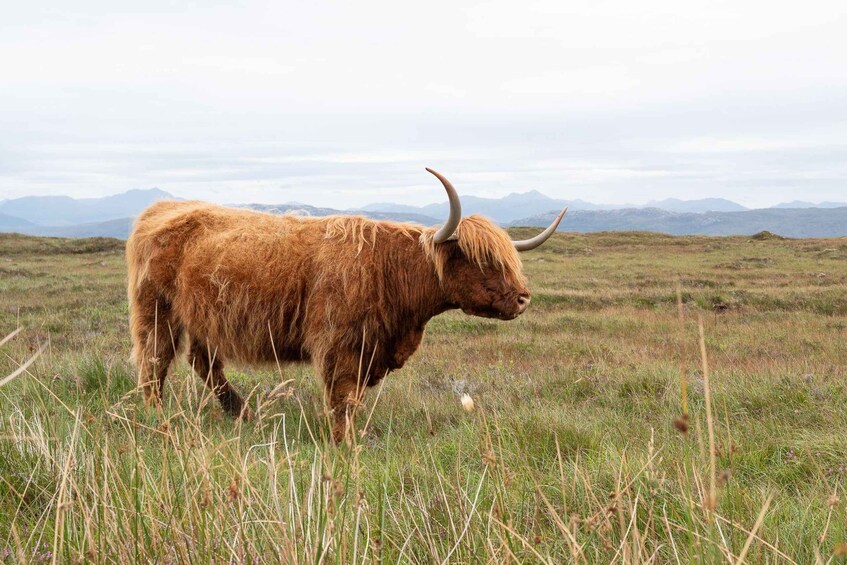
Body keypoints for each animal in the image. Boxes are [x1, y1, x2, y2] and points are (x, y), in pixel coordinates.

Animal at [126, 169, 566, 442]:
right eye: (483, 259)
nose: (523, 298)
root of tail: (162, 207)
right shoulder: (341, 345)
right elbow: (343, 399)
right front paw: (345, 443)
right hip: (156, 310)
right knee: (154, 361)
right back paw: (158, 418)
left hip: (203, 319)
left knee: (203, 362)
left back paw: (242, 413)